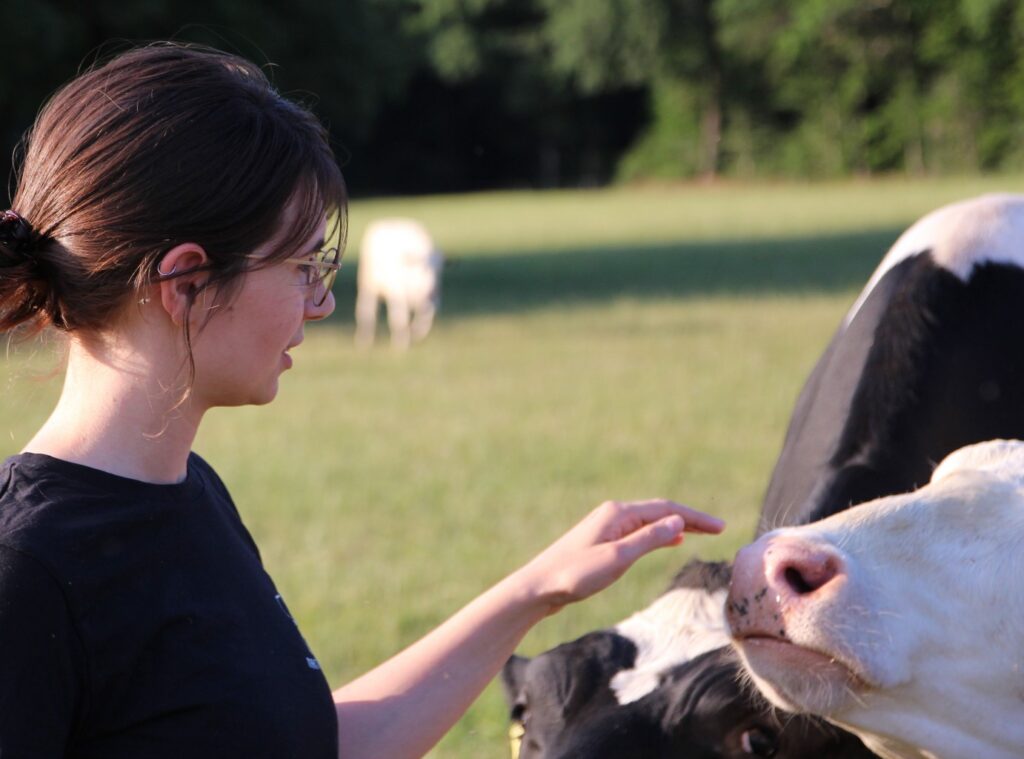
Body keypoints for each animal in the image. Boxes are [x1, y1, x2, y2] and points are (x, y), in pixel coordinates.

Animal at [354, 216, 442, 350]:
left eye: (439, 270)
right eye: (424, 267)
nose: (433, 289)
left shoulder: (431, 302)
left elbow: (427, 317)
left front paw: (417, 332)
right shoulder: (398, 294)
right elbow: (399, 318)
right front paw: (401, 345)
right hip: (368, 284)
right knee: (366, 310)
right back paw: (364, 340)